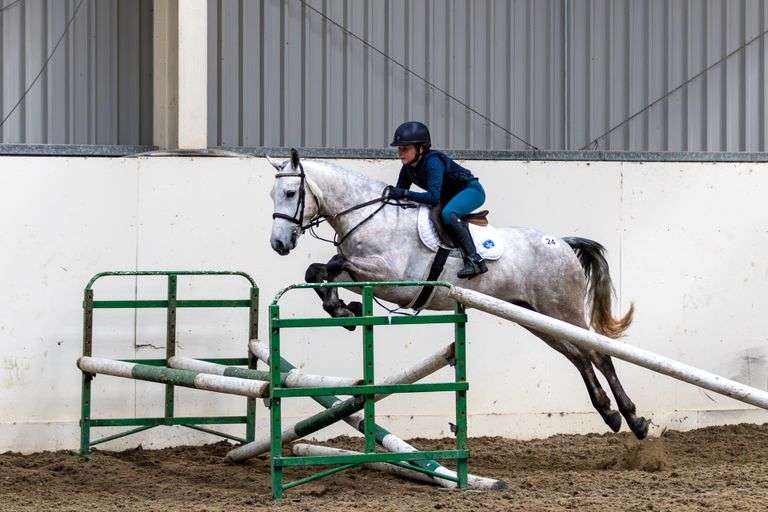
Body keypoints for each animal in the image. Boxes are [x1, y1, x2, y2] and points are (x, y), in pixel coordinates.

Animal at [267, 149, 649, 440]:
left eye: (290, 194)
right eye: (273, 194)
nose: (279, 244)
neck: (368, 216)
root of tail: (563, 243)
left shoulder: (392, 278)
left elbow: (331, 263)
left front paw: (344, 309)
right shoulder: (365, 273)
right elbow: (318, 271)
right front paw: (343, 310)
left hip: (563, 310)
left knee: (598, 354)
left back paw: (633, 419)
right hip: (536, 318)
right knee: (578, 357)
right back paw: (609, 413)